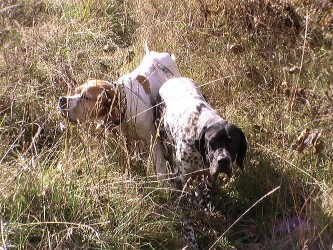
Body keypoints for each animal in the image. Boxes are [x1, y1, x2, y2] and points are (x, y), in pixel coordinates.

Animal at [58, 45, 180, 181]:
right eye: (75, 92)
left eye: (85, 97)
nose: (61, 100)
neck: (125, 107)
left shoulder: (154, 140)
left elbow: (160, 167)